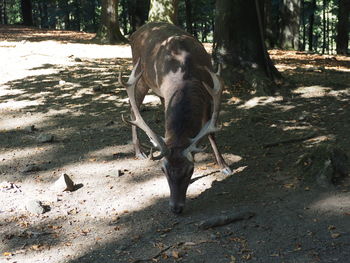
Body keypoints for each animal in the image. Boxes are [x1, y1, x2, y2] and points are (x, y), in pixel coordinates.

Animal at [120, 21, 232, 213]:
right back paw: (139, 150)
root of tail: (135, 32)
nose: (175, 208)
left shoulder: (210, 95)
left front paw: (224, 166)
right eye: (163, 170)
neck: (186, 75)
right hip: (140, 77)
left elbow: (211, 132)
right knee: (133, 109)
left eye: (190, 170)